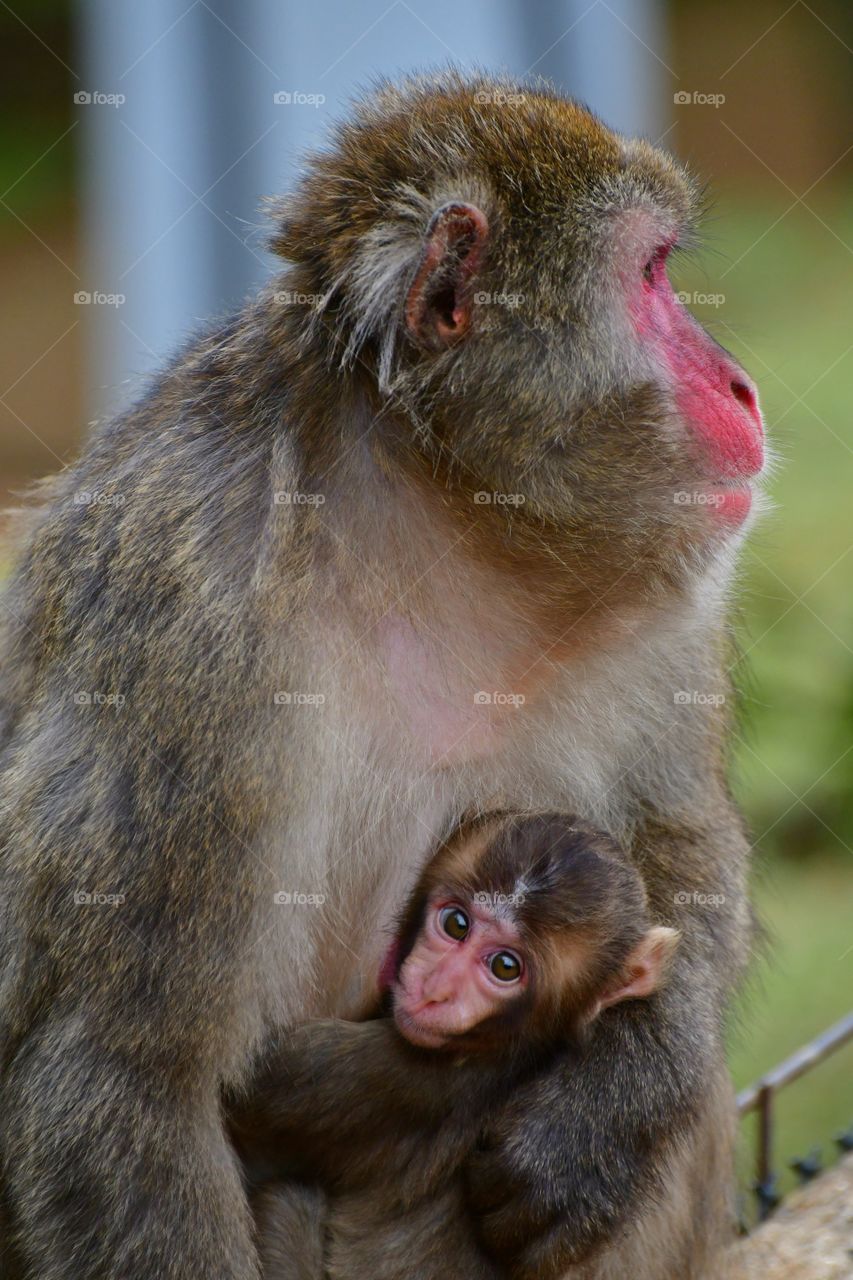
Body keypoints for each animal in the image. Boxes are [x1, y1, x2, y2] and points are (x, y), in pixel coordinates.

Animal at [231, 812, 680, 1280]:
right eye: (457, 924)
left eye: (505, 966)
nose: (435, 989)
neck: (503, 1045)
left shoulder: (379, 1077)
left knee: (288, 1200)